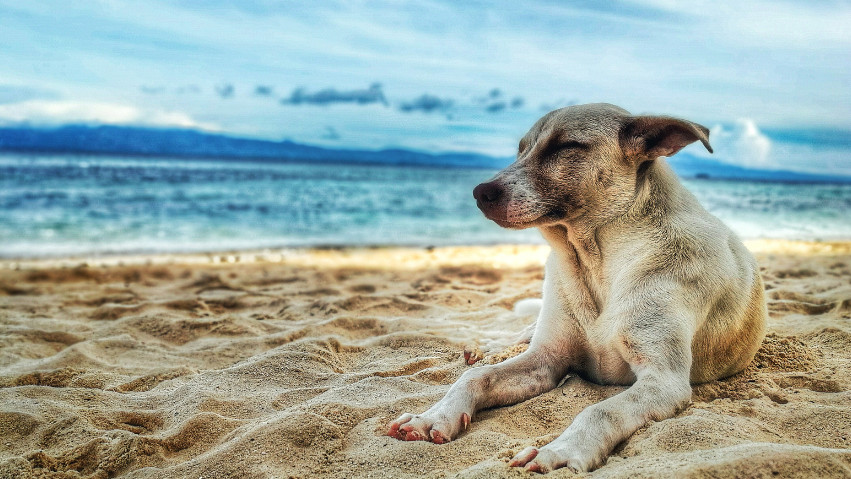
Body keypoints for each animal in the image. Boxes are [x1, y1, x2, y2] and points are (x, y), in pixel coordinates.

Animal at [386, 103, 764, 474]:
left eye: (565, 146)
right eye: (521, 149)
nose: (481, 192)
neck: (594, 262)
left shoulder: (664, 381)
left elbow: (600, 410)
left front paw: (560, 451)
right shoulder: (546, 358)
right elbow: (476, 378)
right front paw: (433, 416)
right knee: (516, 337)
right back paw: (489, 346)